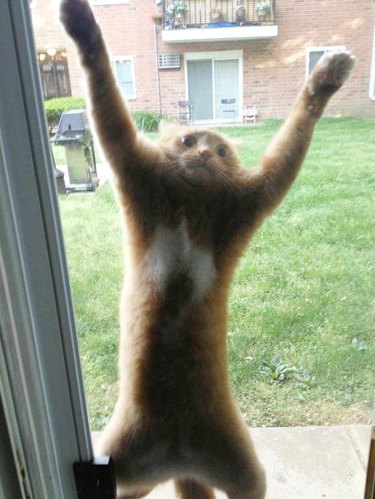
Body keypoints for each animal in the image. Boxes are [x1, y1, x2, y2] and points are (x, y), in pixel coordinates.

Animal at [59, 1, 356, 498]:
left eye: (220, 151)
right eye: (186, 140)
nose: (201, 154)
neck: (191, 202)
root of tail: (180, 459)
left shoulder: (255, 195)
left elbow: (289, 147)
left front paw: (327, 76)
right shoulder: (132, 162)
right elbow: (105, 96)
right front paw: (80, 23)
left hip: (242, 468)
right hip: (123, 464)